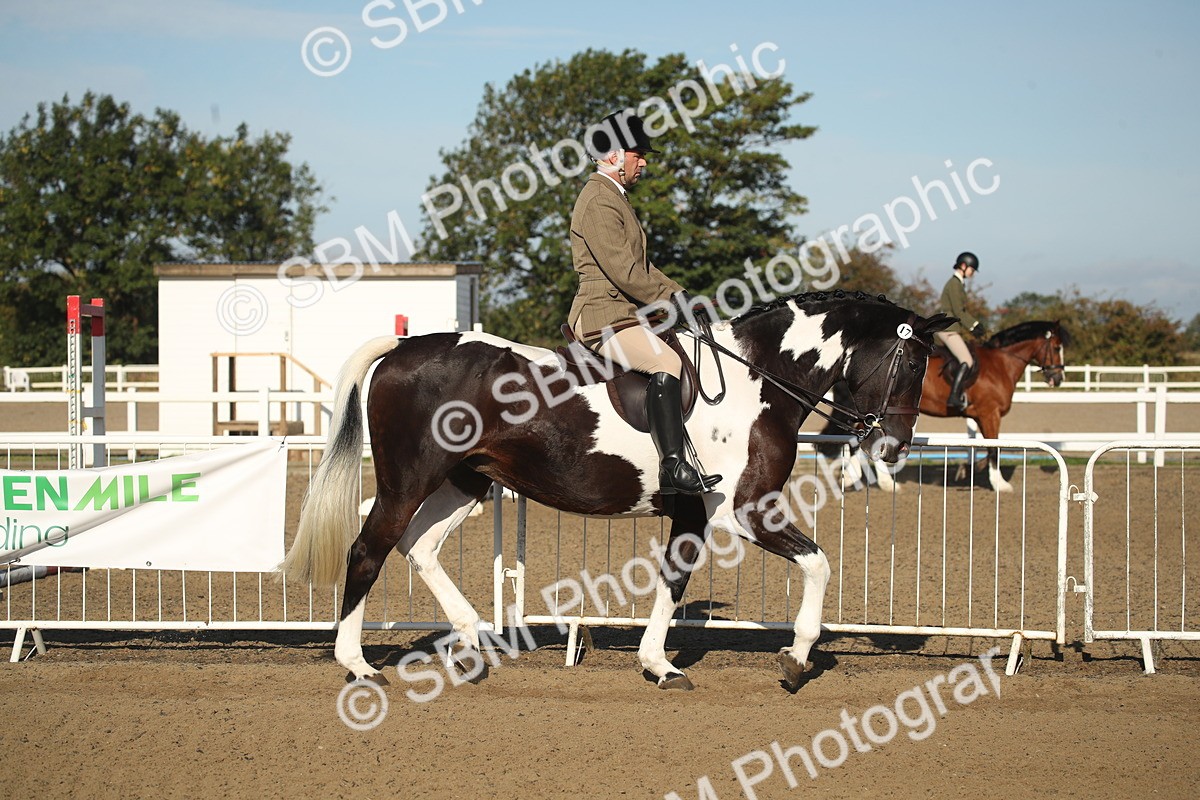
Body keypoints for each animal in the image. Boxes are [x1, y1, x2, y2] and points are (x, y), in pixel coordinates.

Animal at [282, 291, 955, 691]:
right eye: (912, 365)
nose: (894, 446)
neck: (756, 380)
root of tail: (405, 345)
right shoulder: (745, 510)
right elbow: (817, 562)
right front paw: (795, 661)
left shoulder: (694, 511)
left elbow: (674, 580)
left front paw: (658, 663)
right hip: (410, 479)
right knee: (369, 548)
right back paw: (356, 664)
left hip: (465, 481)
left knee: (419, 547)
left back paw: (472, 642)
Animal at [816, 319, 1070, 493]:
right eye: (1057, 347)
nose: (1058, 378)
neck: (1000, 363)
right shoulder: (990, 414)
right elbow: (994, 448)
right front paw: (1000, 484)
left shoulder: (982, 416)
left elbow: (986, 447)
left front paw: (968, 470)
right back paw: (879, 482)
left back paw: (859, 478)